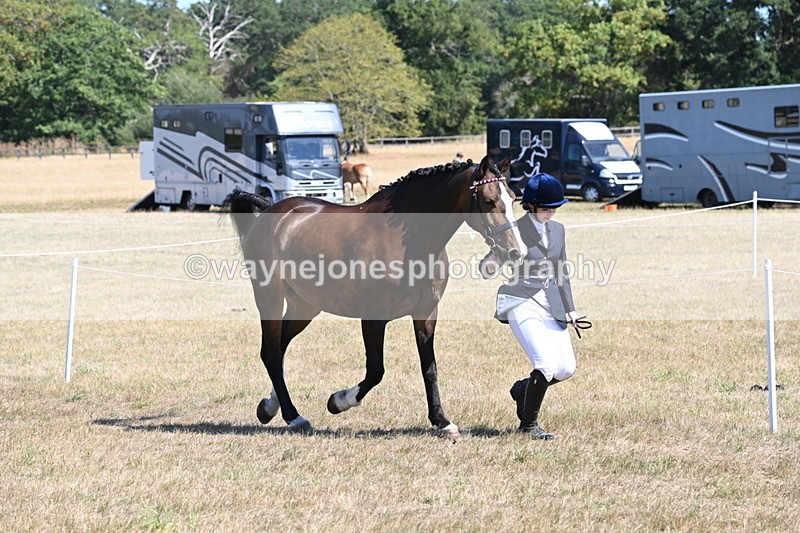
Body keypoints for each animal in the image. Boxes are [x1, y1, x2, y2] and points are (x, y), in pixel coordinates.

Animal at [223, 155, 523, 439]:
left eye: (512, 197)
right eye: (488, 200)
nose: (516, 252)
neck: (408, 242)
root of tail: (270, 210)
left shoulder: (426, 313)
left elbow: (429, 367)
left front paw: (442, 421)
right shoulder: (373, 318)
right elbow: (376, 370)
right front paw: (338, 401)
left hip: (304, 306)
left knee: (279, 348)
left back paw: (269, 406)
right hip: (270, 296)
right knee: (272, 353)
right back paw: (293, 416)